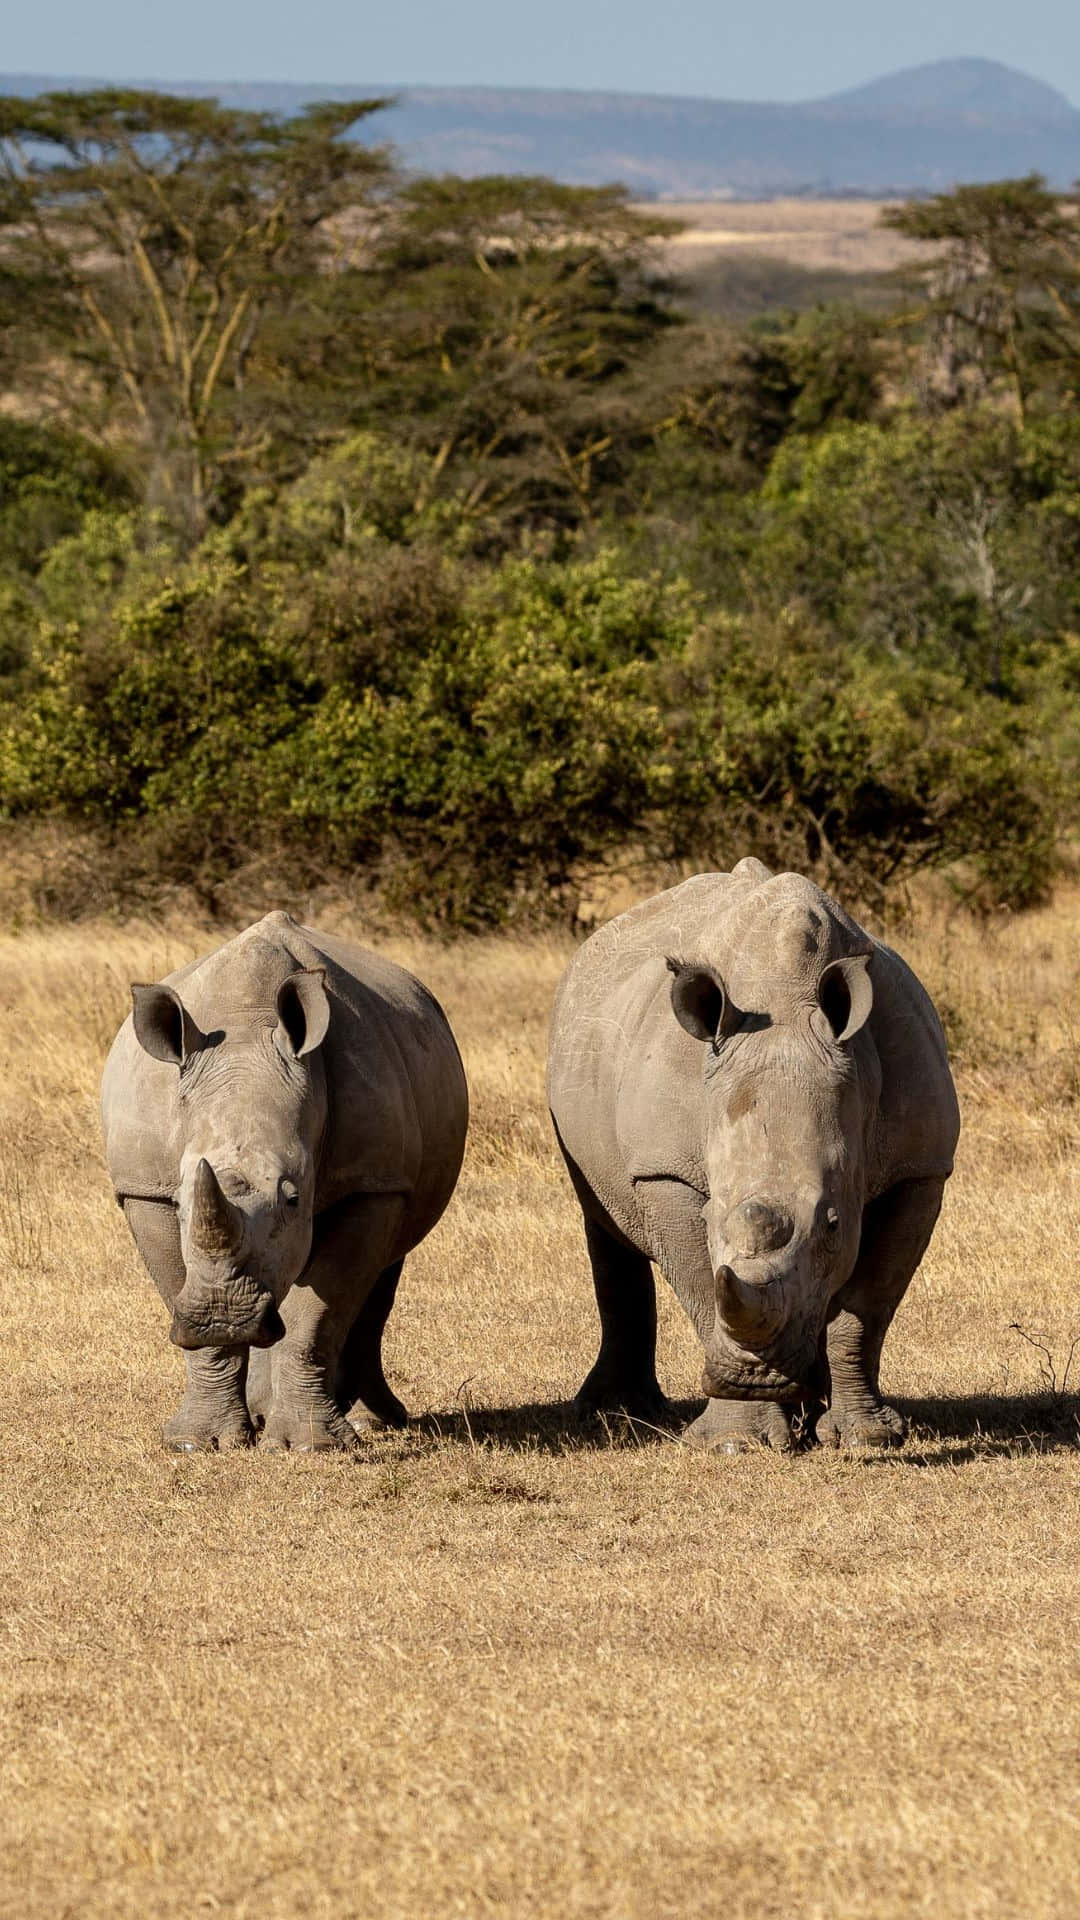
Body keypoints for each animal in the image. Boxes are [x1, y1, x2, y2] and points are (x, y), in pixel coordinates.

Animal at [101, 911, 468, 1451]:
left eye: (294, 1198)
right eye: (182, 1203)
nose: (222, 1313)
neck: (247, 1025)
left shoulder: (372, 1181)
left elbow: (316, 1314)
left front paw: (312, 1445)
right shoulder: (144, 1188)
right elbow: (179, 1289)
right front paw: (198, 1442)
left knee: (381, 1274)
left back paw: (368, 1421)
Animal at [547, 861, 959, 1450]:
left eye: (834, 1224)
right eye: (708, 1217)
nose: (757, 1379)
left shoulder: (919, 1168)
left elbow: (866, 1309)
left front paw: (867, 1438)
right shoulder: (665, 1172)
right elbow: (704, 1288)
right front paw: (734, 1441)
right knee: (604, 1220)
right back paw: (617, 1414)